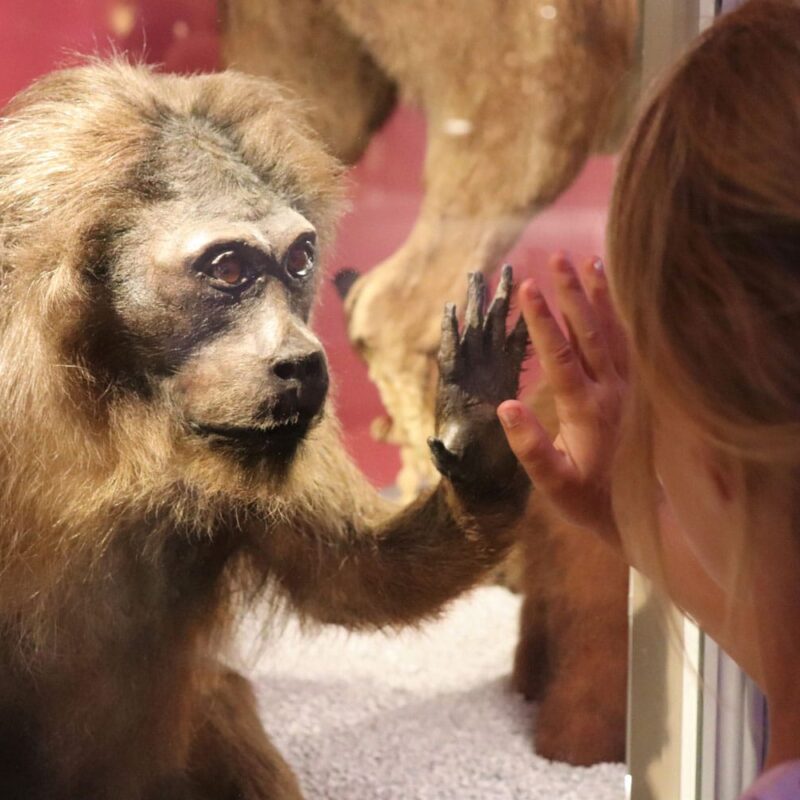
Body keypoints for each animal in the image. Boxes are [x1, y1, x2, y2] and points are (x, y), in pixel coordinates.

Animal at [0, 62, 532, 800]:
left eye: (301, 260)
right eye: (229, 270)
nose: (304, 362)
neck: (109, 423)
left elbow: (361, 577)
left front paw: (477, 430)